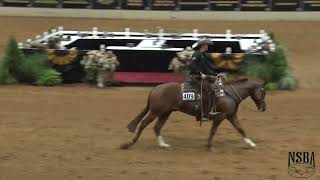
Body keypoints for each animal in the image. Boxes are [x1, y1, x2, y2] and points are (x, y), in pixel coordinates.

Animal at [121, 77, 266, 150]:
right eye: (263, 92)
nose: (263, 108)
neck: (228, 94)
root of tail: (155, 88)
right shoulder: (220, 116)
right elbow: (213, 131)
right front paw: (209, 146)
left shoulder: (230, 115)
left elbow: (240, 129)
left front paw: (251, 144)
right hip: (155, 112)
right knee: (143, 124)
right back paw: (129, 144)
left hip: (165, 113)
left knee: (157, 127)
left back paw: (163, 145)